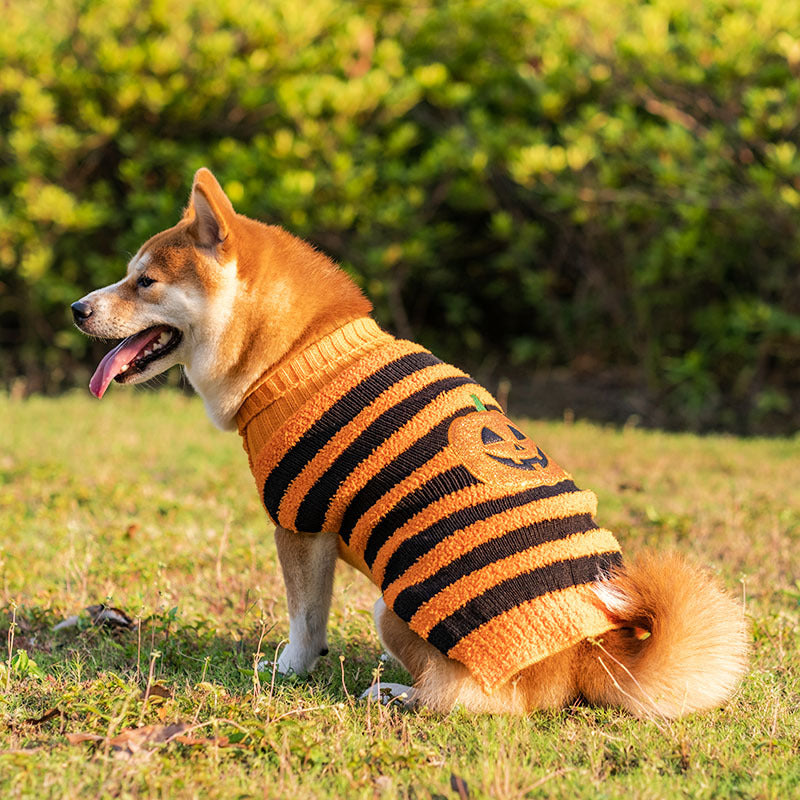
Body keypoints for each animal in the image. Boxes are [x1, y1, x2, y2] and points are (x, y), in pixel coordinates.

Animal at [70, 169, 752, 720]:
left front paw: (290, 668)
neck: (297, 352)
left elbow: (304, 618)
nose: (76, 307)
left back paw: (402, 694)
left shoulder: (299, 523)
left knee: (479, 701)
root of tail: (588, 652)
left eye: (145, 282)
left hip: (394, 608)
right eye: (128, 277)